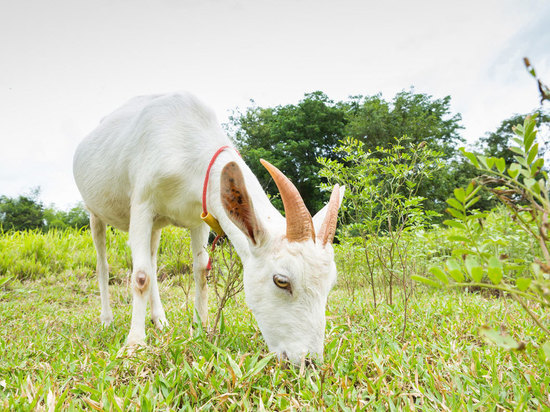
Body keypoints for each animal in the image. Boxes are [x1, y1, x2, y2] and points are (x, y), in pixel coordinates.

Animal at [71, 91, 342, 362]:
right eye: (281, 281)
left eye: (330, 285)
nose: (309, 360)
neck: (184, 141)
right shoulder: (141, 204)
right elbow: (141, 276)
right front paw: (134, 345)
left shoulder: (198, 214)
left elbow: (200, 270)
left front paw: (201, 330)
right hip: (94, 211)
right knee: (104, 263)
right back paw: (107, 320)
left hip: (156, 225)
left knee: (152, 258)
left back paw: (160, 320)